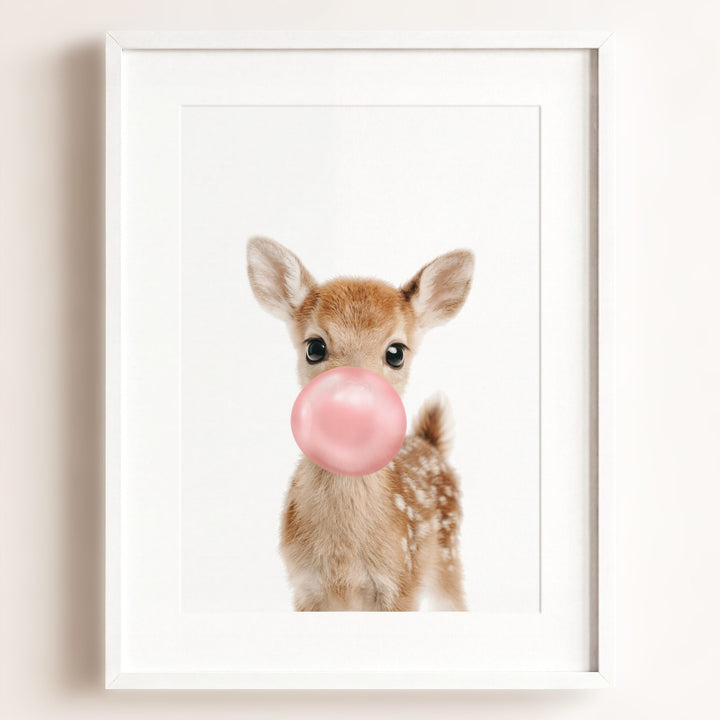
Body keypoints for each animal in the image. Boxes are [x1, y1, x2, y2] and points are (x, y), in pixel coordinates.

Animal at [246, 236, 474, 611]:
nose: (353, 401)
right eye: (315, 347)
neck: (343, 561)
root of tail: (430, 442)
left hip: (448, 557)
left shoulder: (401, 584)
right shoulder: (304, 587)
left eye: (396, 352)